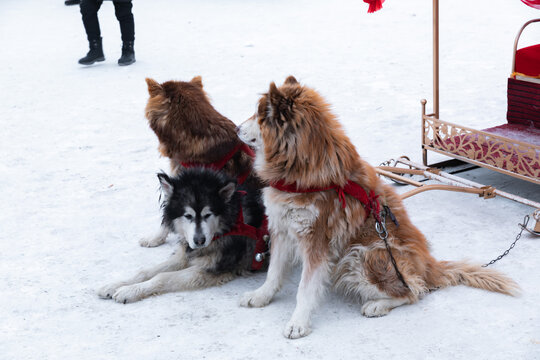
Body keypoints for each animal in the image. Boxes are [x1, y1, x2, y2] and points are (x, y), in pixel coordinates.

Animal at [98, 167, 268, 302]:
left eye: (208, 214)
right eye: (188, 216)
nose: (199, 241)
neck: (229, 225)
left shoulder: (211, 269)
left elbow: (161, 277)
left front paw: (130, 291)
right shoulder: (183, 257)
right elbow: (145, 271)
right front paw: (115, 285)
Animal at [237, 75, 520, 338]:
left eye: (258, 116)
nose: (237, 128)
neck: (300, 166)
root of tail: (429, 266)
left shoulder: (316, 239)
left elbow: (305, 288)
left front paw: (298, 322)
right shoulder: (282, 228)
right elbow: (273, 273)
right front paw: (261, 296)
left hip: (366, 253)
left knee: (414, 291)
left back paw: (377, 305)